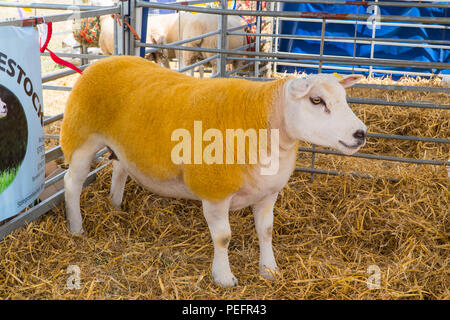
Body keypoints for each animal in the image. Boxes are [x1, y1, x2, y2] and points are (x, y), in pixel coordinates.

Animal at [59, 55, 368, 288]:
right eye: (316, 100)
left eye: (344, 98)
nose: (361, 133)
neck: (261, 120)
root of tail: (103, 61)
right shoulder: (215, 191)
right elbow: (223, 237)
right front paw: (223, 277)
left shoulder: (269, 192)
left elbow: (267, 231)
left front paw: (269, 269)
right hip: (81, 137)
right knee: (72, 182)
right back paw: (76, 228)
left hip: (122, 144)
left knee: (120, 169)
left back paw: (115, 205)